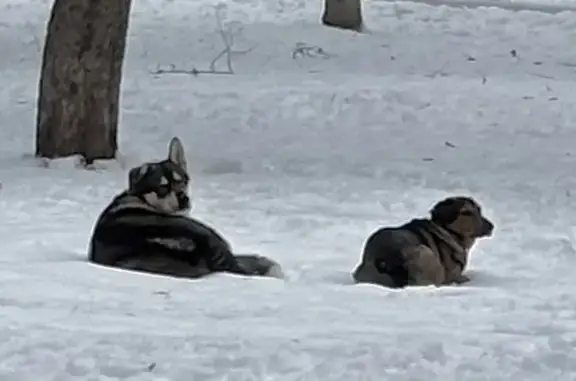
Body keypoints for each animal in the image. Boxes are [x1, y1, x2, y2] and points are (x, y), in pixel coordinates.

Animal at [352, 196, 496, 288]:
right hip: (425, 252)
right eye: (466, 212)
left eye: (479, 210)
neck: (446, 229)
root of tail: (386, 259)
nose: (491, 226)